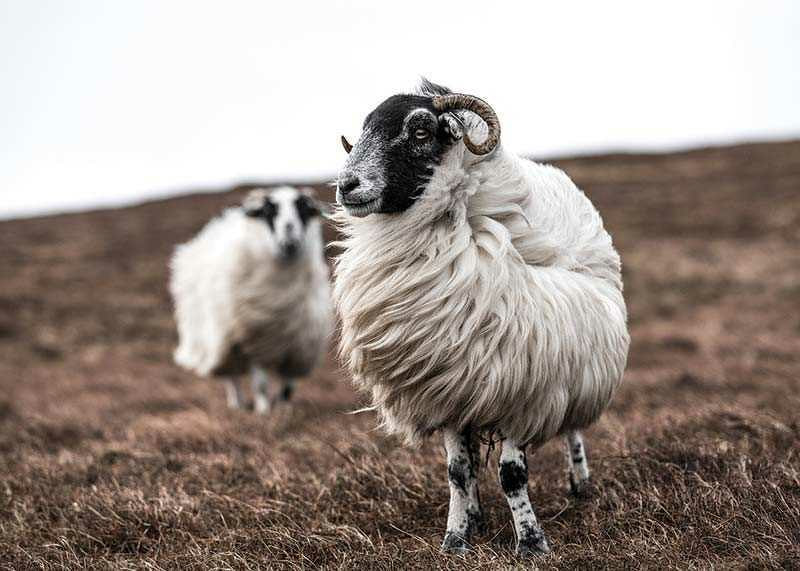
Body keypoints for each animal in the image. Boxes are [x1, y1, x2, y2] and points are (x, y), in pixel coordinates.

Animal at [170, 186, 332, 414]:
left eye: (303, 210)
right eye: (269, 211)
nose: (289, 237)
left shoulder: (298, 346)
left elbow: (288, 387)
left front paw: (284, 411)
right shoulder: (254, 342)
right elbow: (260, 384)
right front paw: (264, 412)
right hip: (223, 340)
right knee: (232, 377)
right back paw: (237, 405)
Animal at [332, 79, 630, 556]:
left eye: (420, 130)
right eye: (363, 130)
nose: (347, 185)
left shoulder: (523, 387)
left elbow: (512, 474)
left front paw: (531, 543)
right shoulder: (450, 386)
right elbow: (458, 472)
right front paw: (456, 539)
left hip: (574, 364)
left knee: (572, 430)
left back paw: (580, 485)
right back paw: (476, 515)